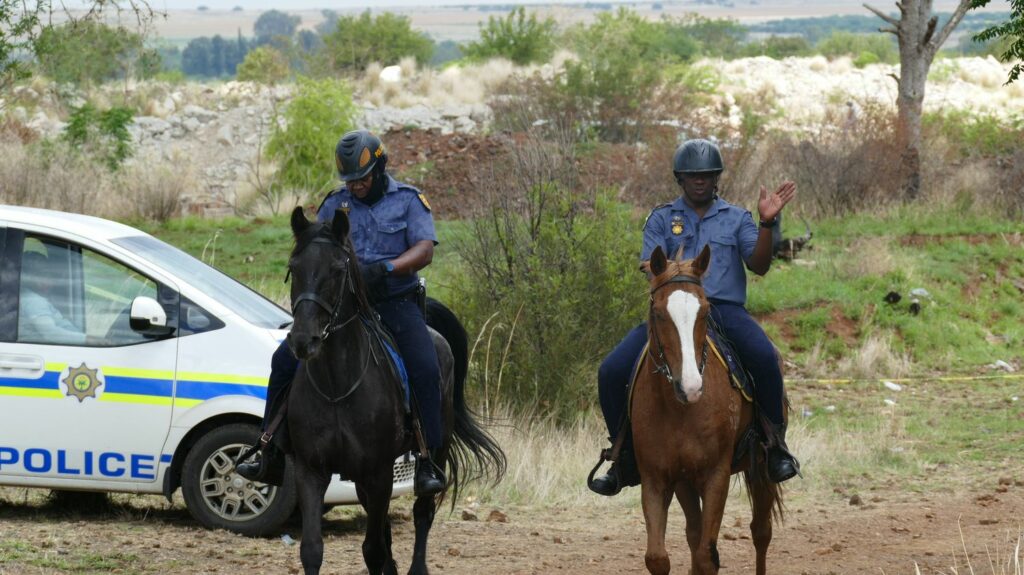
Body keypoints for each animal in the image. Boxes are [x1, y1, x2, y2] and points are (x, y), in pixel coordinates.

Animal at [286, 205, 505, 572]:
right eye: (293, 268)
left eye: (337, 271)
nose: (304, 340)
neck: (337, 385)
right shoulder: (310, 470)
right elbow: (313, 549)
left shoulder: (379, 471)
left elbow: (373, 548)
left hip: (434, 452)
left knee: (422, 513)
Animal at [630, 242, 782, 572]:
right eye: (658, 313)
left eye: (706, 310)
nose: (691, 387)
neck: (680, 410)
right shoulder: (656, 478)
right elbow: (658, 557)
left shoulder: (716, 476)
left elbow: (705, 556)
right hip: (685, 481)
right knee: (693, 533)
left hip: (761, 468)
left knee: (761, 532)